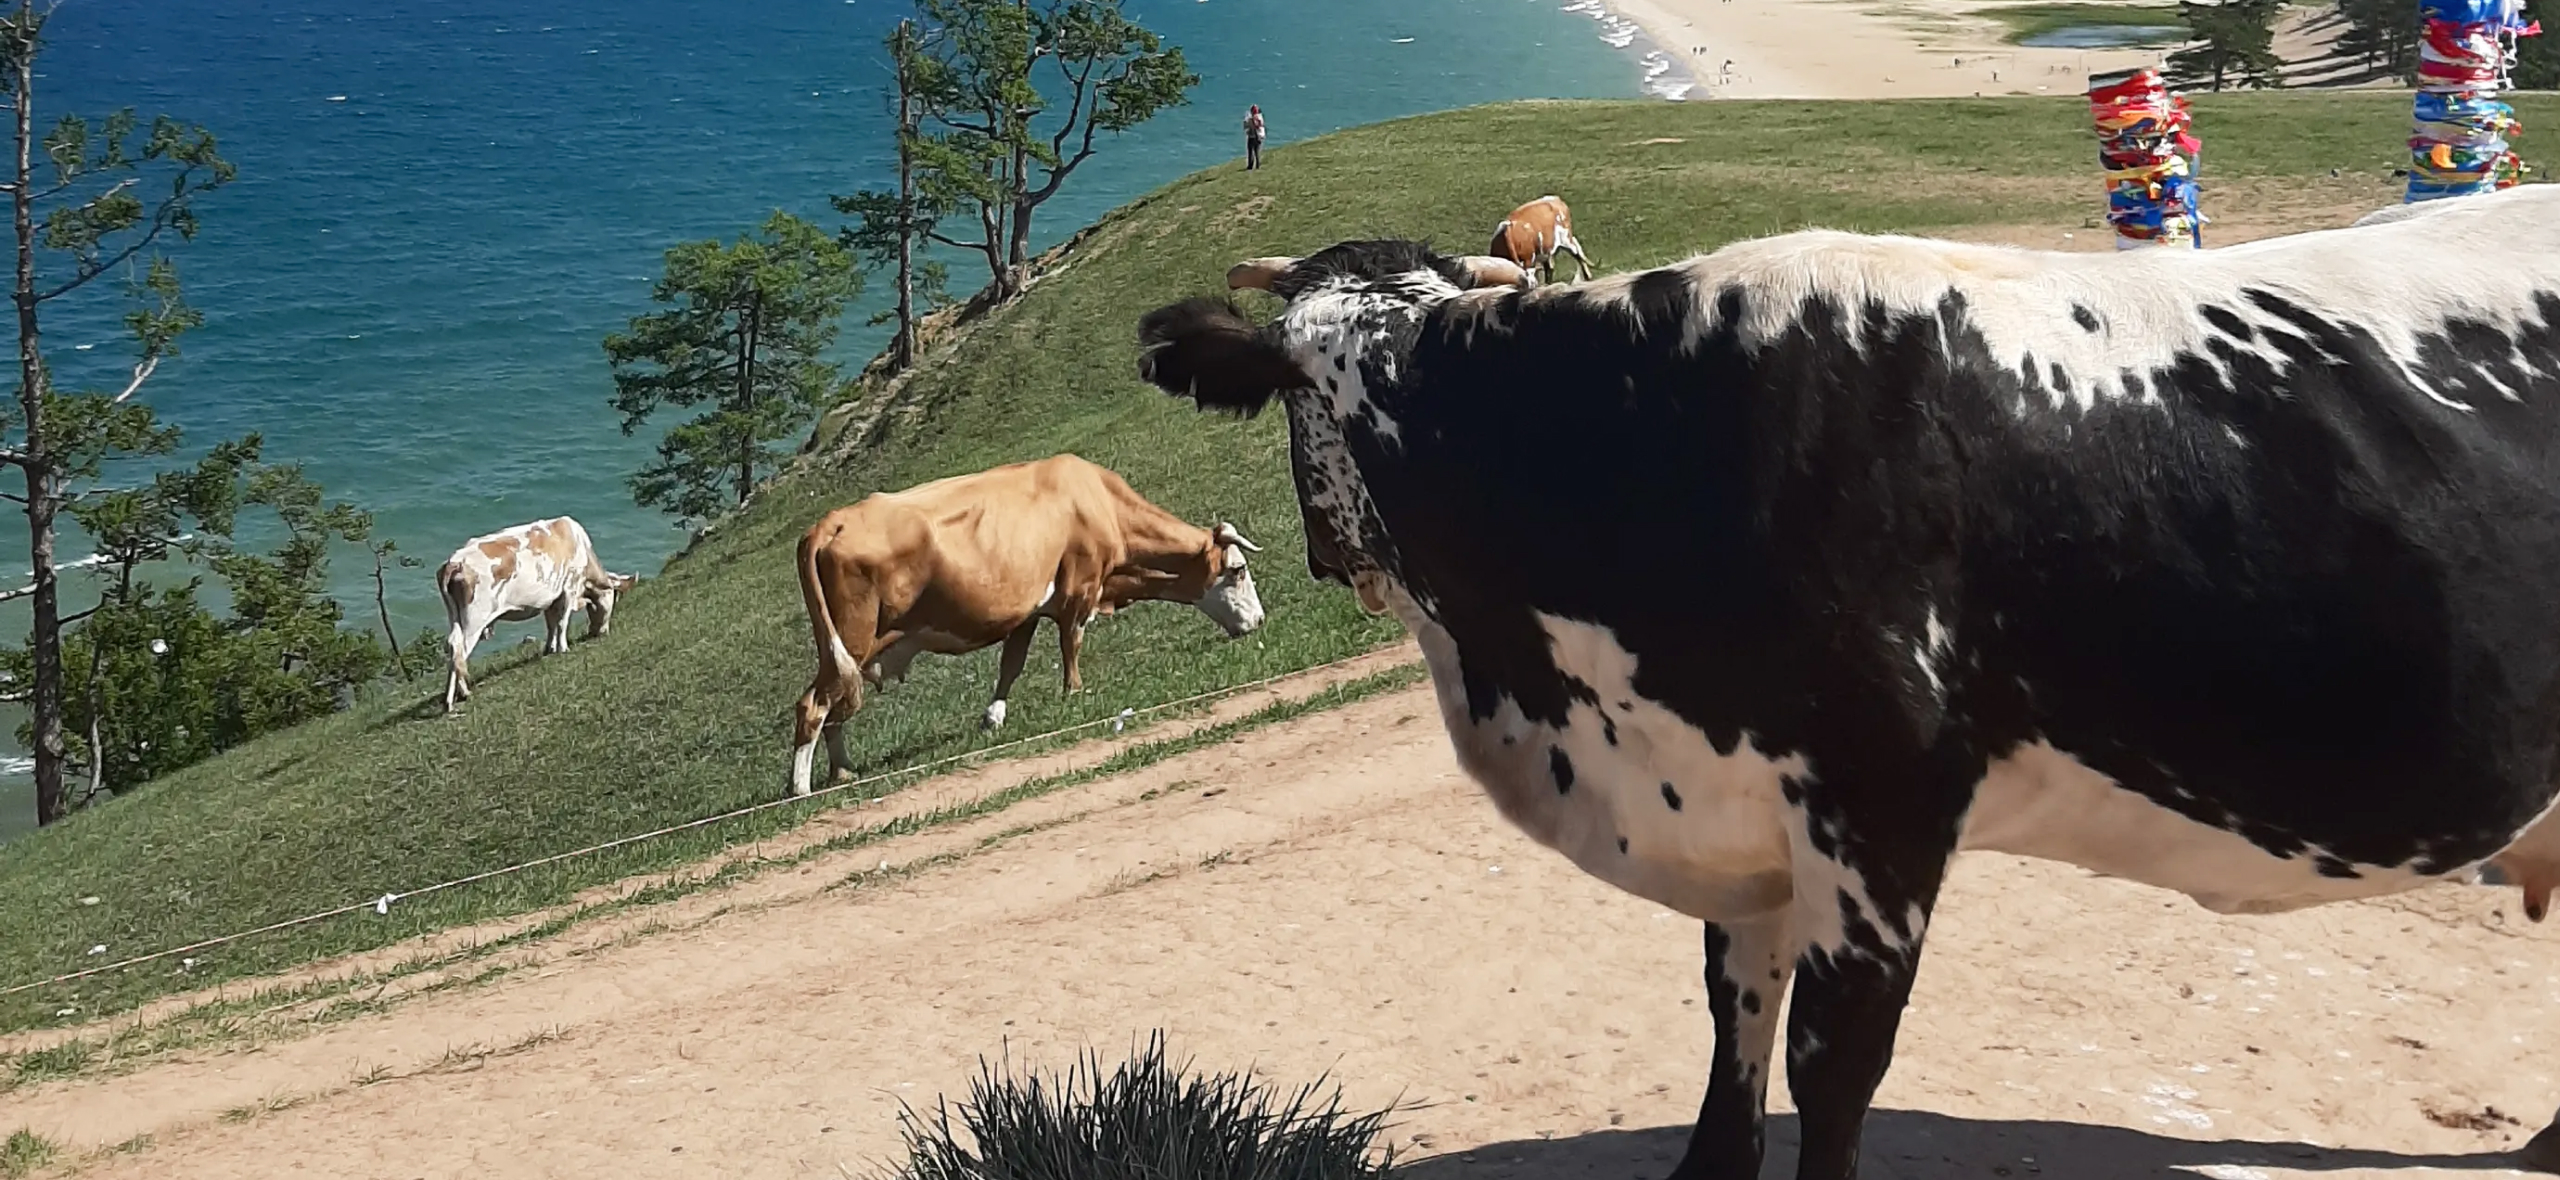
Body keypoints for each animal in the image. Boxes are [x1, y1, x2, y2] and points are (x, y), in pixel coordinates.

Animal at [435, 511, 634, 711]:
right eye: (612, 598)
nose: (601, 632)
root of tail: (455, 561)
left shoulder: (550, 598)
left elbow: (551, 624)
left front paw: (549, 649)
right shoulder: (568, 588)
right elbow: (562, 622)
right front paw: (563, 648)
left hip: (455, 617)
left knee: (453, 647)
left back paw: (452, 697)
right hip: (474, 620)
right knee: (460, 649)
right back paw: (459, 696)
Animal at [778, 455, 1259, 793]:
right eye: (1237, 570)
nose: (1258, 619)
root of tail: (830, 522)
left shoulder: (1026, 610)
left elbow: (1012, 663)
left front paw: (994, 716)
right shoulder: (1080, 589)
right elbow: (1071, 643)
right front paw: (1074, 693)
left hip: (844, 651)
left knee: (834, 707)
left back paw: (842, 772)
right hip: (853, 638)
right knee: (814, 705)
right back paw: (802, 788)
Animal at [1131, 184, 2560, 1177]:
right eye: (1289, 380)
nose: (1337, 547)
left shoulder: (1883, 815)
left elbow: (1832, 1068)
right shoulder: (1740, 813)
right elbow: (1731, 1032)